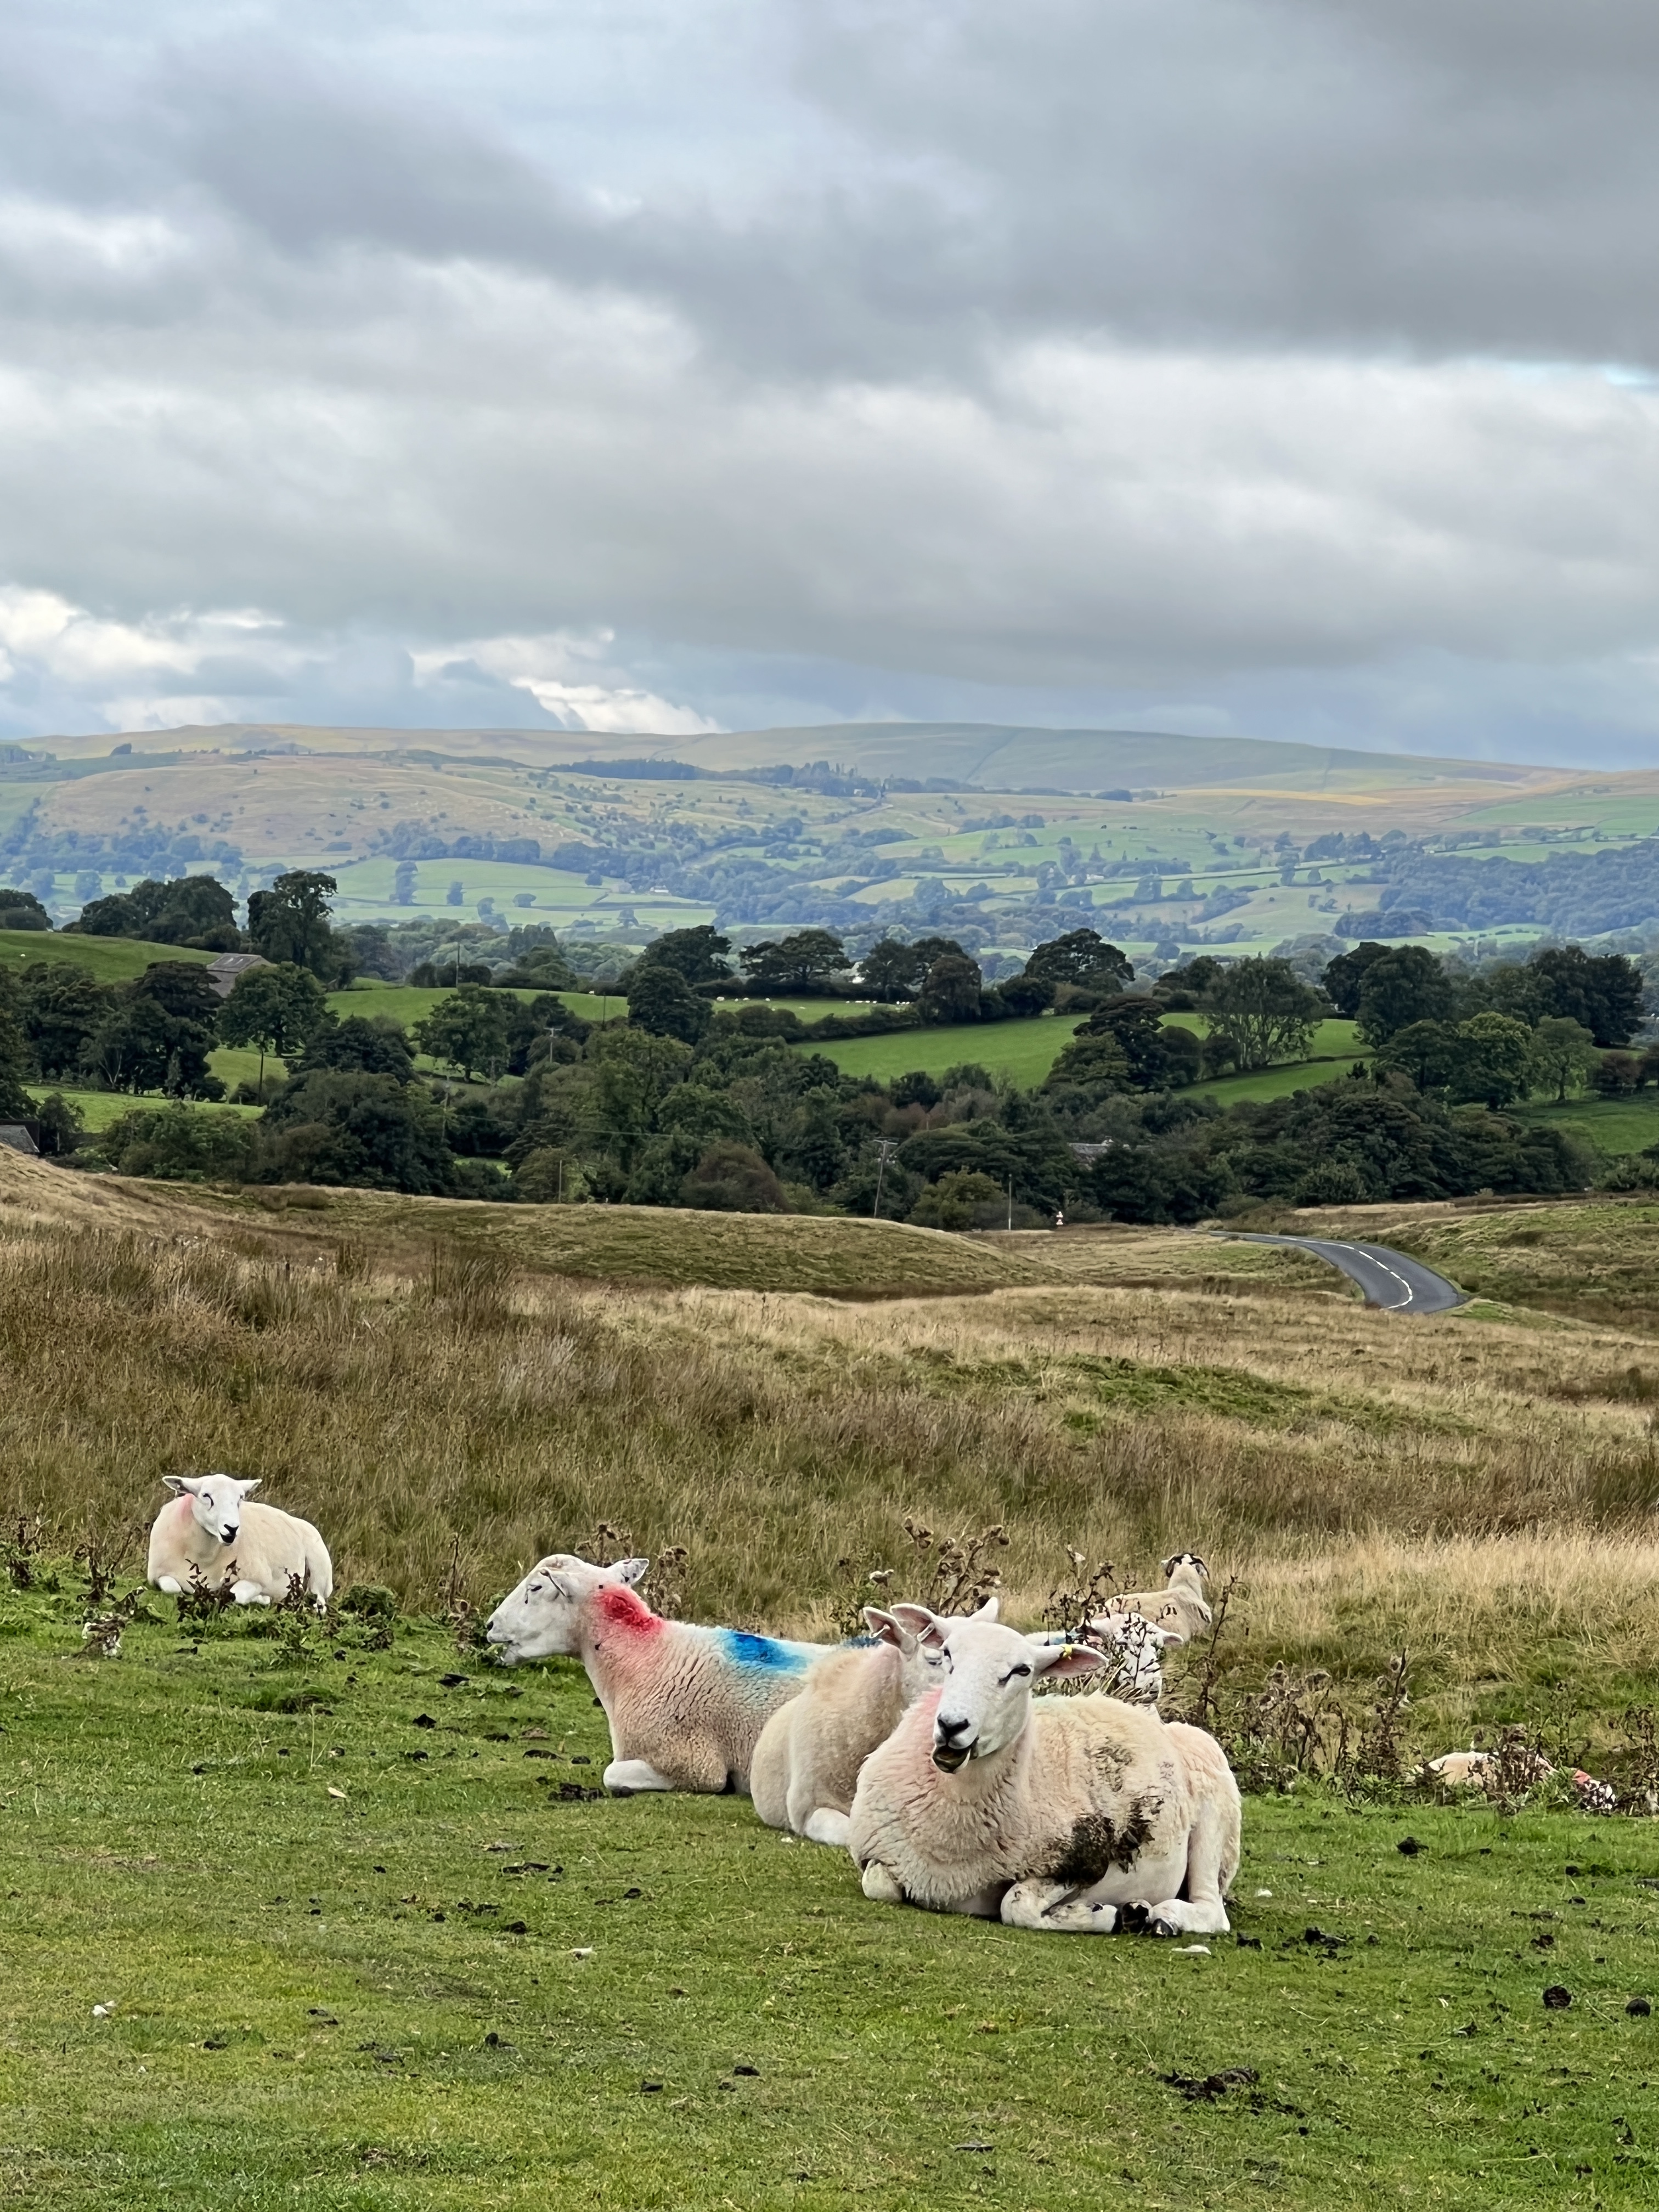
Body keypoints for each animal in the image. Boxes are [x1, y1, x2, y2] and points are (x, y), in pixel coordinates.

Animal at [146, 1475, 333, 1610]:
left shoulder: (259, 1579)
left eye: (240, 1498)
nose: (232, 1528)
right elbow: (172, 1588)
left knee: (320, 1601)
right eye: (206, 1496)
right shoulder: (157, 1576)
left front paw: (262, 1599)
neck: (203, 1558)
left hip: (322, 1572)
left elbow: (237, 1594)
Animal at [847, 1605, 1241, 1936]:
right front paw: (1120, 1914)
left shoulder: (1084, 1860)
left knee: (1212, 1911)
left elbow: (1015, 1904)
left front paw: (1104, 1916)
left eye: (1022, 1671)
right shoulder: (877, 1857)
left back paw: (1161, 1917)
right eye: (946, 1655)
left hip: (1214, 1822)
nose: (952, 1725)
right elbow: (877, 1885)